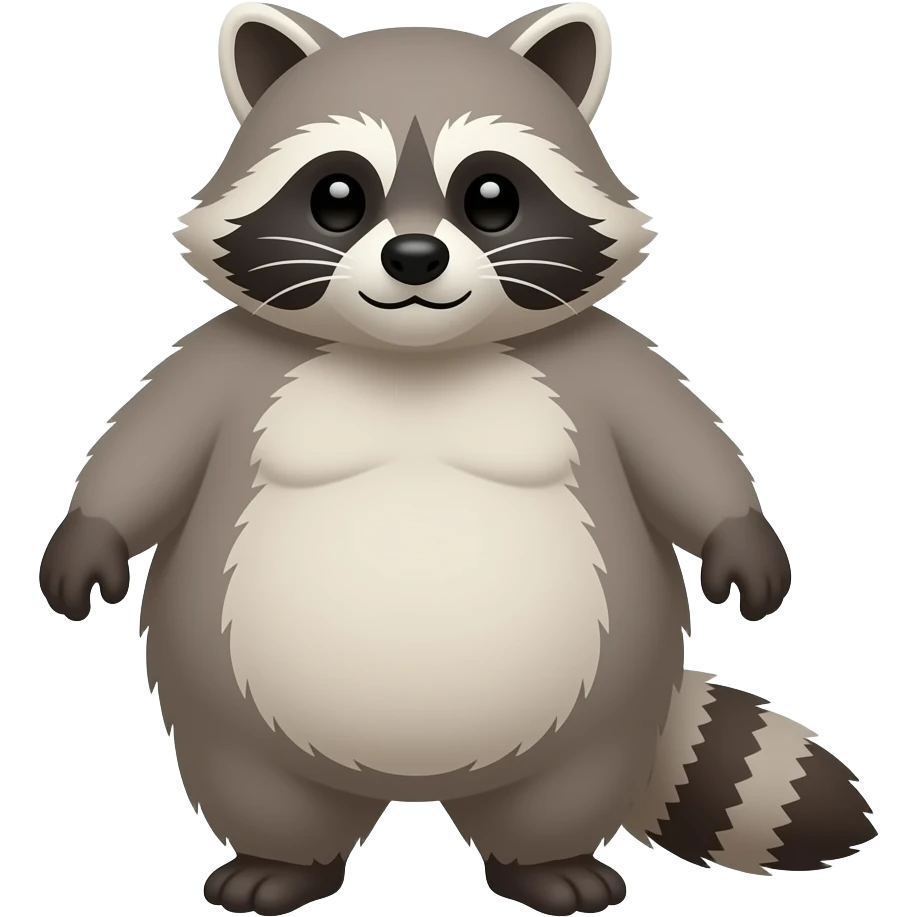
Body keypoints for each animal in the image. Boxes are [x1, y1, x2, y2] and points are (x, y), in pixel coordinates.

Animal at [38, 4, 876, 915]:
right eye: (336, 196)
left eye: (491, 197)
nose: (414, 258)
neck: (416, 358)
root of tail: (417, 786)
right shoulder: (226, 359)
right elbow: (146, 449)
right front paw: (87, 535)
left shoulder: (602, 360)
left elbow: (682, 447)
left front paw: (740, 533)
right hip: (227, 699)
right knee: (256, 782)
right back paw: (282, 861)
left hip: (605, 700)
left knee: (566, 786)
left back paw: (544, 863)